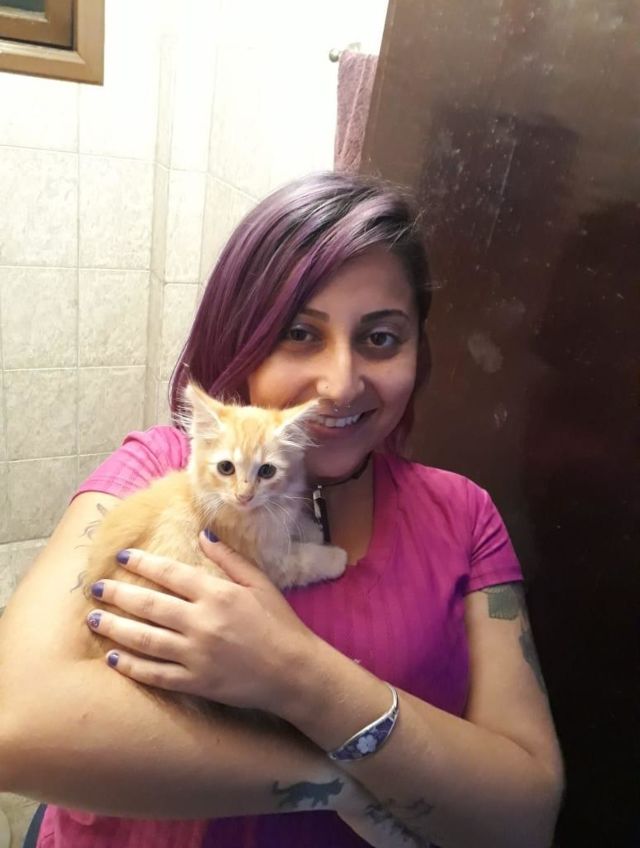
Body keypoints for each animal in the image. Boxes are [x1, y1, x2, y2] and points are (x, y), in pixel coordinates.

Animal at [81, 381, 348, 718]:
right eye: (226, 468)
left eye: (267, 472)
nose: (245, 495)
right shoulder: (269, 560)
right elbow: (305, 559)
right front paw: (336, 556)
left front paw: (312, 529)